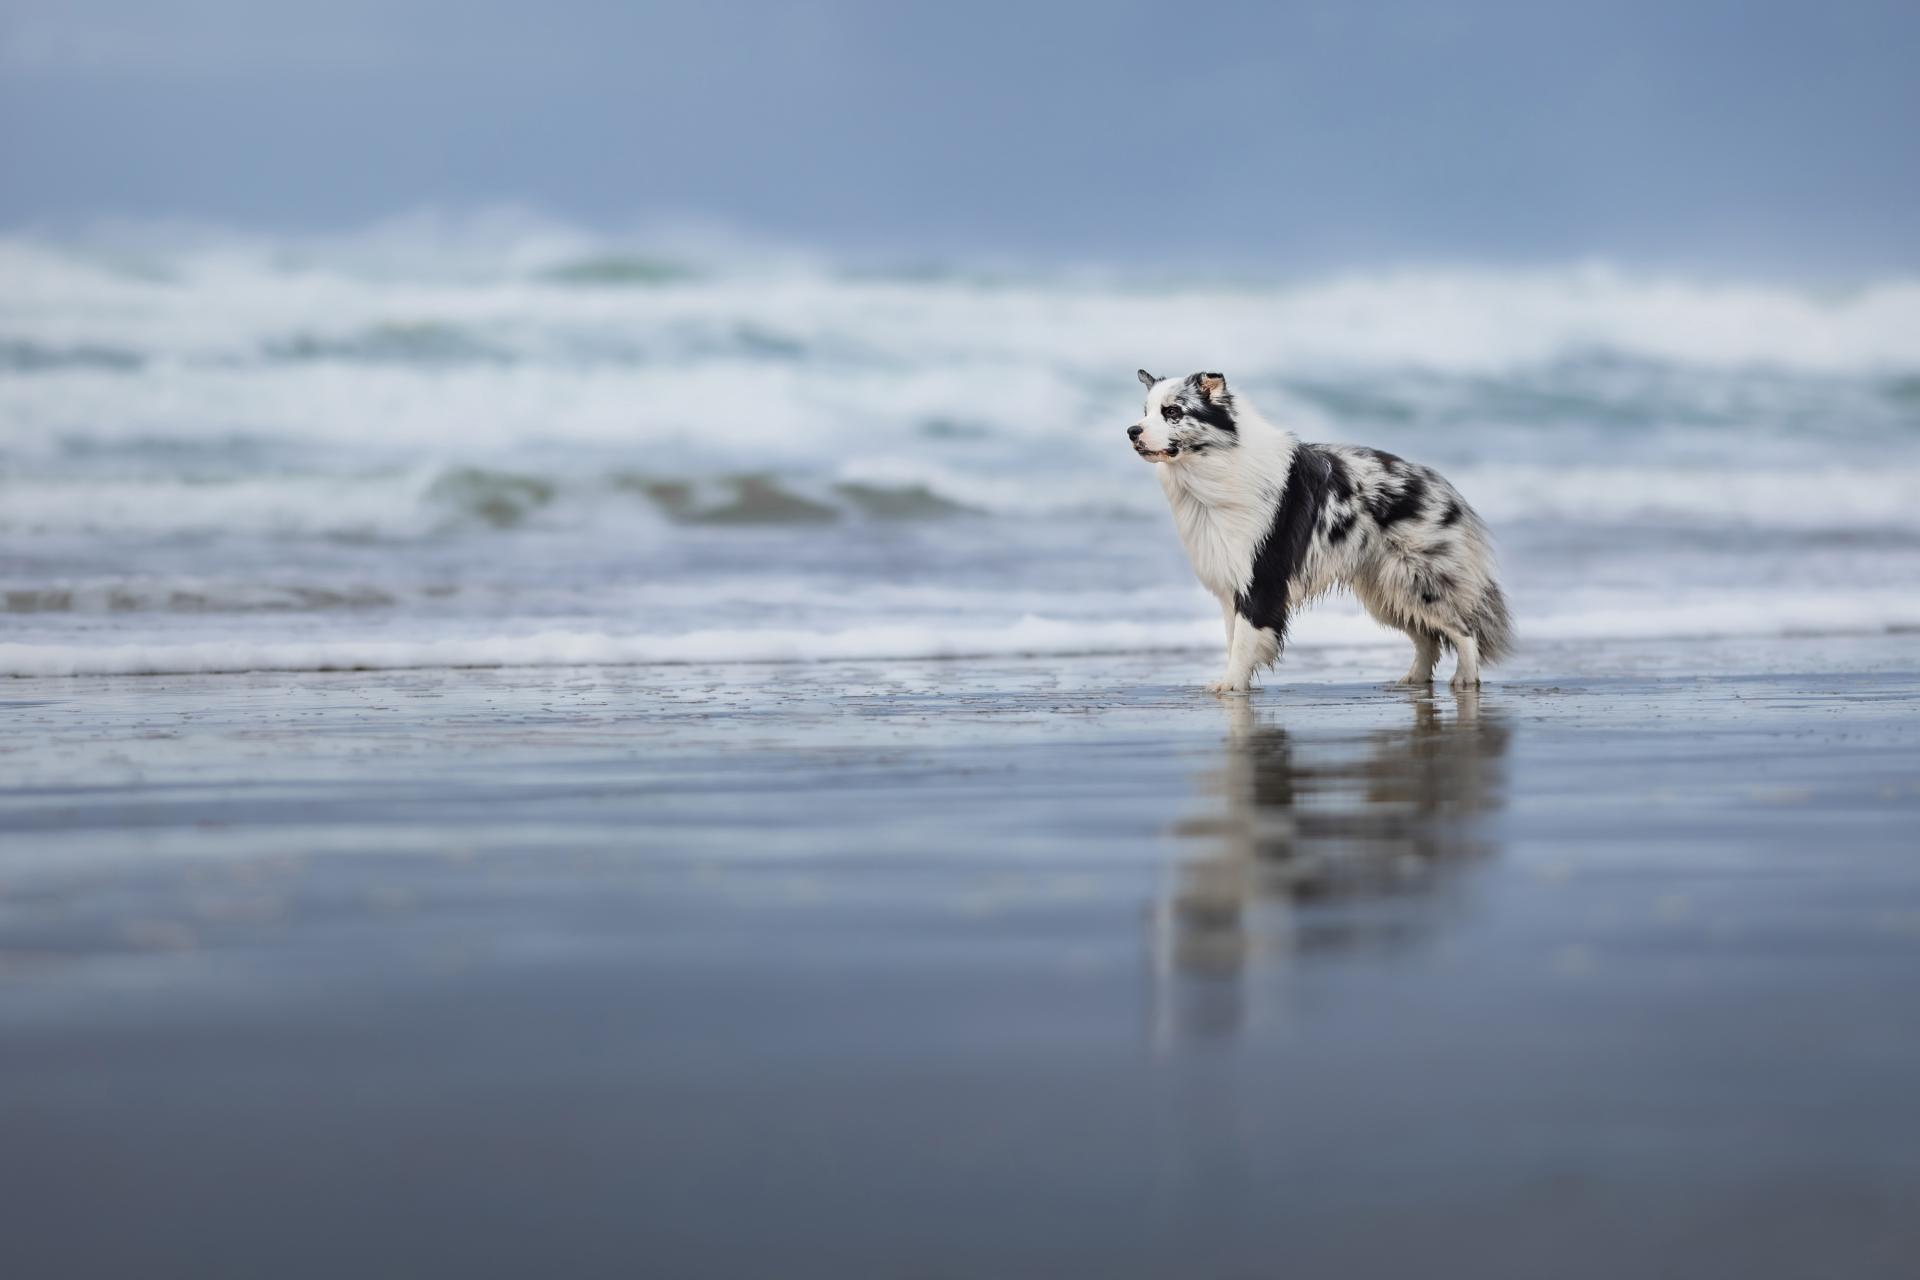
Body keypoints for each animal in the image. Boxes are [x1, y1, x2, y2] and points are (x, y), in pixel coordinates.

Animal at [1121, 364, 1512, 694]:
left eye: (1173, 412)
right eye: (1145, 411)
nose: (1131, 431)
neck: (1216, 468)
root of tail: (1443, 486)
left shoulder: (1261, 578)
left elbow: (1245, 640)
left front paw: (1231, 685)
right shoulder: (1232, 583)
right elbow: (1235, 640)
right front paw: (1233, 682)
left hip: (1419, 582)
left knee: (1464, 629)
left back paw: (1466, 679)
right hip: (1386, 590)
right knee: (1428, 638)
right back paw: (1413, 680)